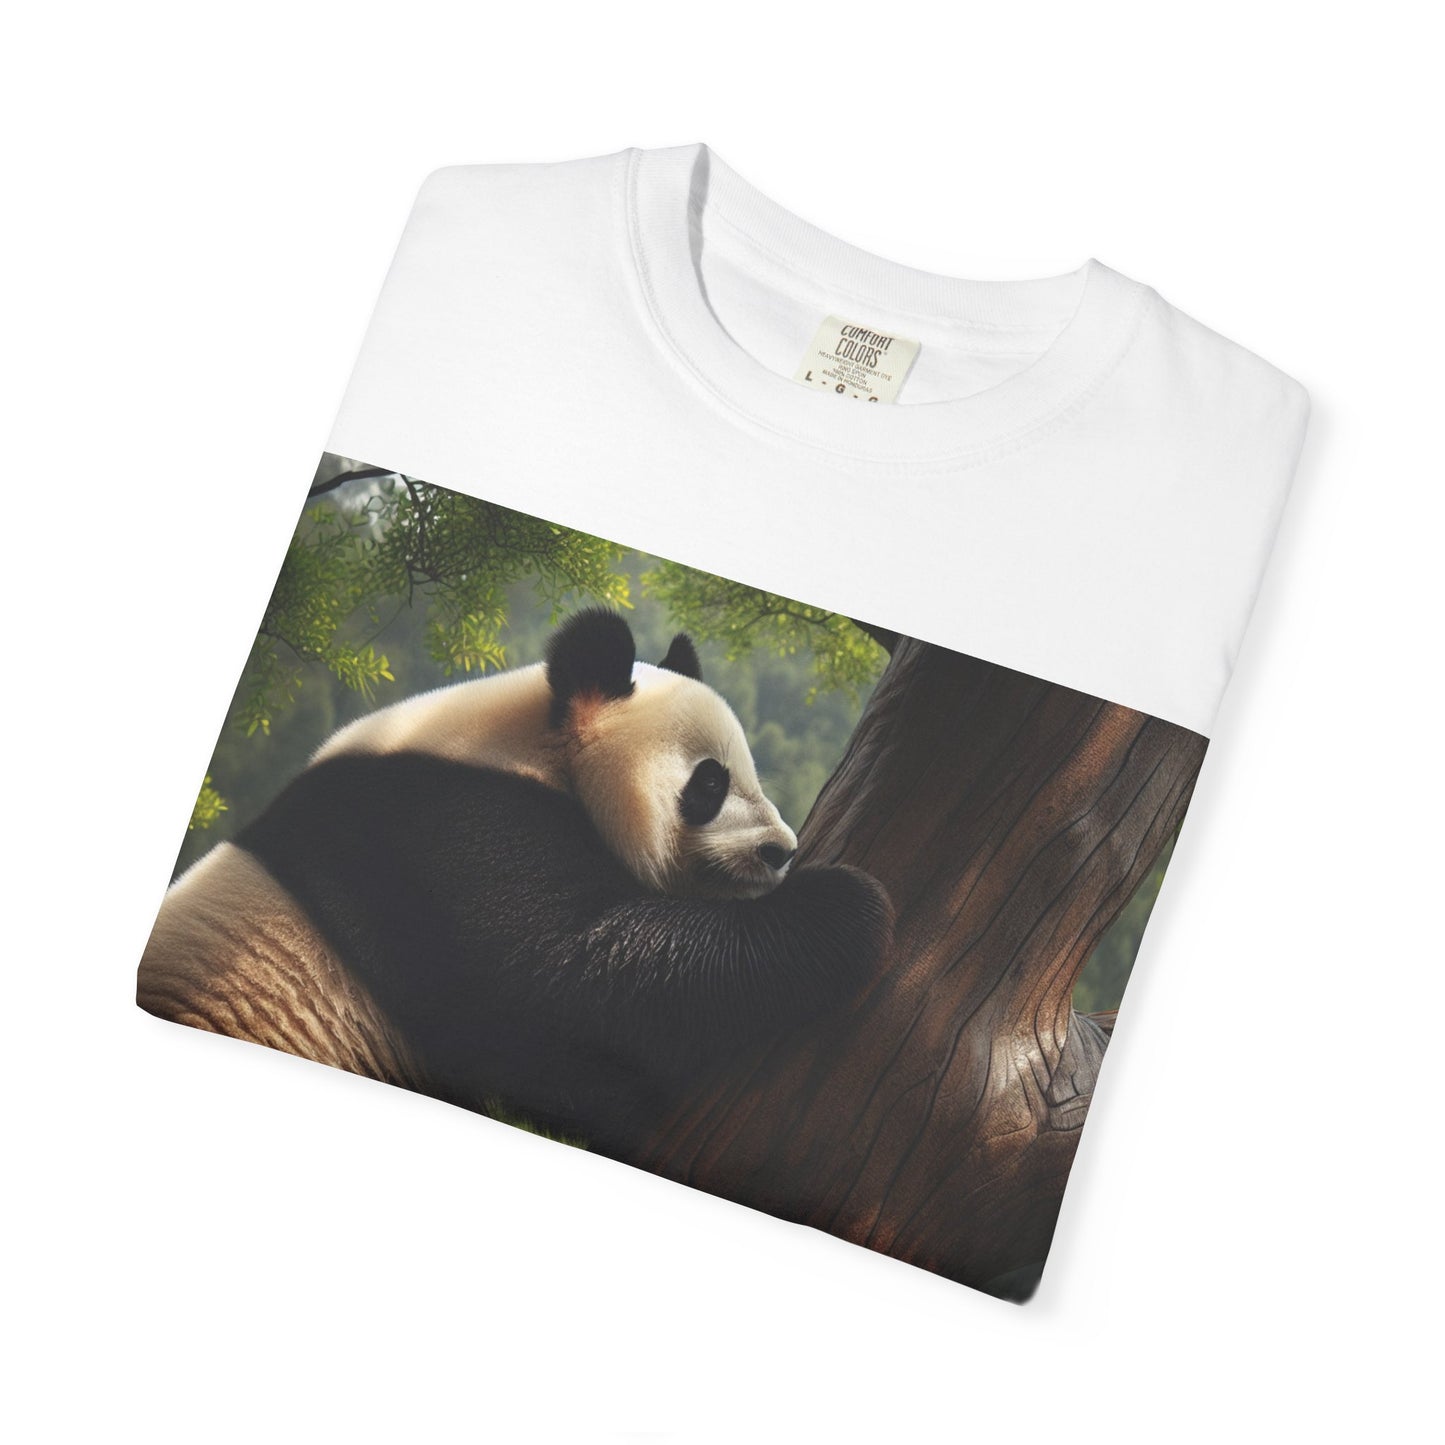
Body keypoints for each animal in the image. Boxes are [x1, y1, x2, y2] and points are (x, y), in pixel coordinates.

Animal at [138, 609, 892, 1153]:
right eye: (709, 783)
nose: (780, 851)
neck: (531, 743)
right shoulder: (439, 833)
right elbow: (565, 983)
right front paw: (850, 905)